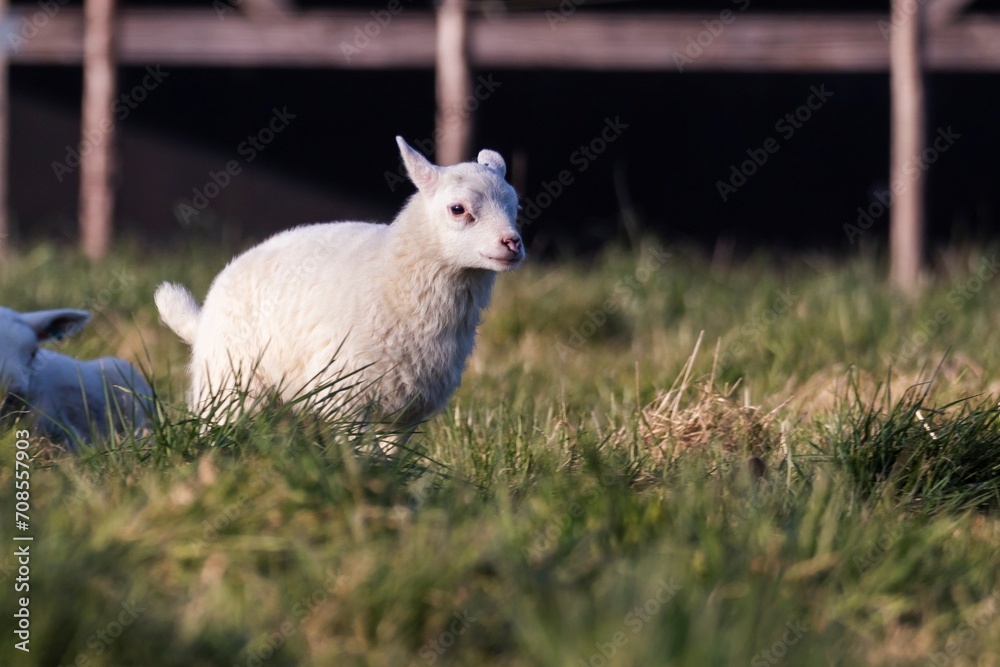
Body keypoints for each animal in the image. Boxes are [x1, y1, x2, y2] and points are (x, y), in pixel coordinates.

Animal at [155, 136, 524, 442]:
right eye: (457, 209)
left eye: (515, 207)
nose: (512, 243)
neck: (392, 278)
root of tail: (200, 319)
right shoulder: (348, 399)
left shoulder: (405, 411)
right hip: (228, 384)